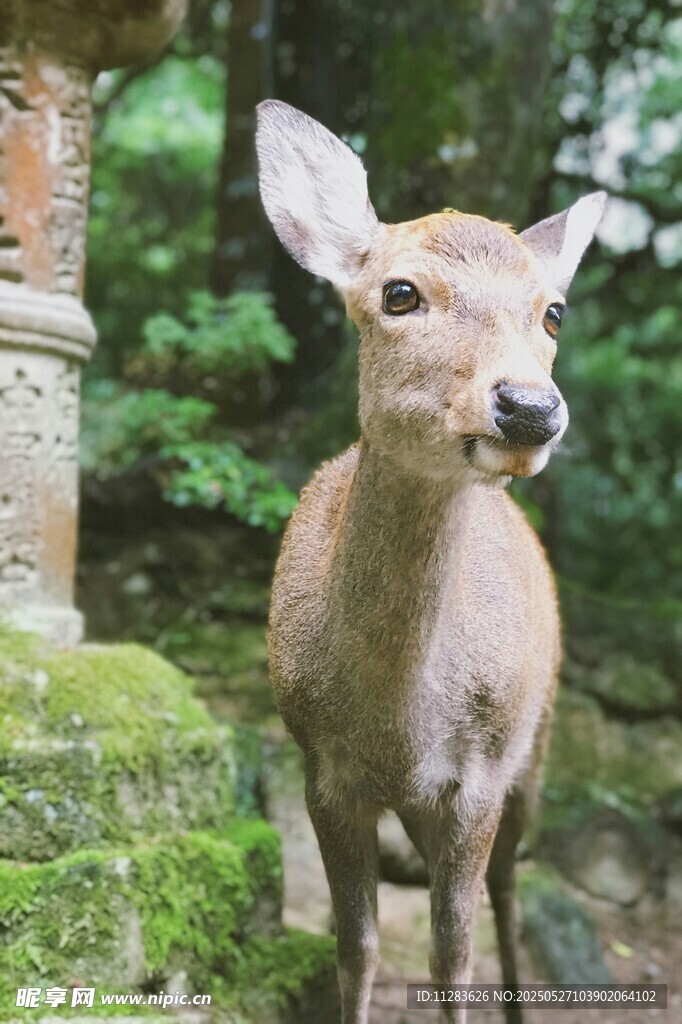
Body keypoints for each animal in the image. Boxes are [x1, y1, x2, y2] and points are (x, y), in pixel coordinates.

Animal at [256, 99, 605, 1024]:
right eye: (399, 292)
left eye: (553, 312)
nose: (529, 406)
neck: (396, 721)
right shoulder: (321, 767)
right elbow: (357, 947)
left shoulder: (480, 770)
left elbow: (453, 955)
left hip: (539, 737)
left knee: (511, 889)